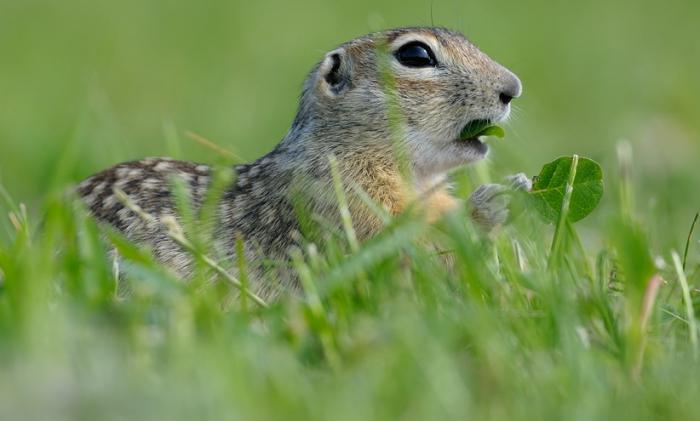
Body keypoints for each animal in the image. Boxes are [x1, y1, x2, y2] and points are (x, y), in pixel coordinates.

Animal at [76, 27, 532, 298]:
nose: (513, 88)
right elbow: (412, 251)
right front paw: (490, 204)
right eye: (416, 55)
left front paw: (521, 186)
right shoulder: (341, 203)